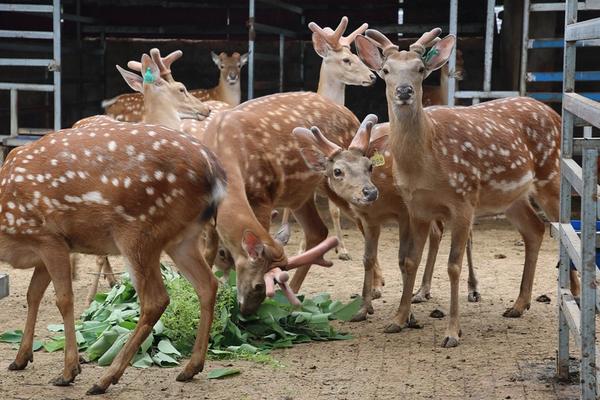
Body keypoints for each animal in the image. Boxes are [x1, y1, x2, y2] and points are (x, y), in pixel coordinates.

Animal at [2, 85, 227, 394]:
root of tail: (214, 169)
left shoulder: (48, 237)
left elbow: (63, 299)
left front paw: (69, 371)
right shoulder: (49, 247)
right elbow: (32, 295)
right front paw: (20, 358)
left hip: (139, 232)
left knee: (156, 300)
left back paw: (106, 378)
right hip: (182, 238)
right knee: (208, 284)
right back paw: (191, 368)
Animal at [354, 28, 580, 346]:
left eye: (420, 69)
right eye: (386, 71)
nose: (404, 91)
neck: (426, 162)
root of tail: (554, 113)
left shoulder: (463, 200)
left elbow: (453, 265)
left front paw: (452, 332)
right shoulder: (417, 208)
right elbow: (410, 261)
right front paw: (398, 320)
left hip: (551, 176)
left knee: (569, 232)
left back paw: (577, 296)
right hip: (511, 197)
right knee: (535, 230)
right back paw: (518, 304)